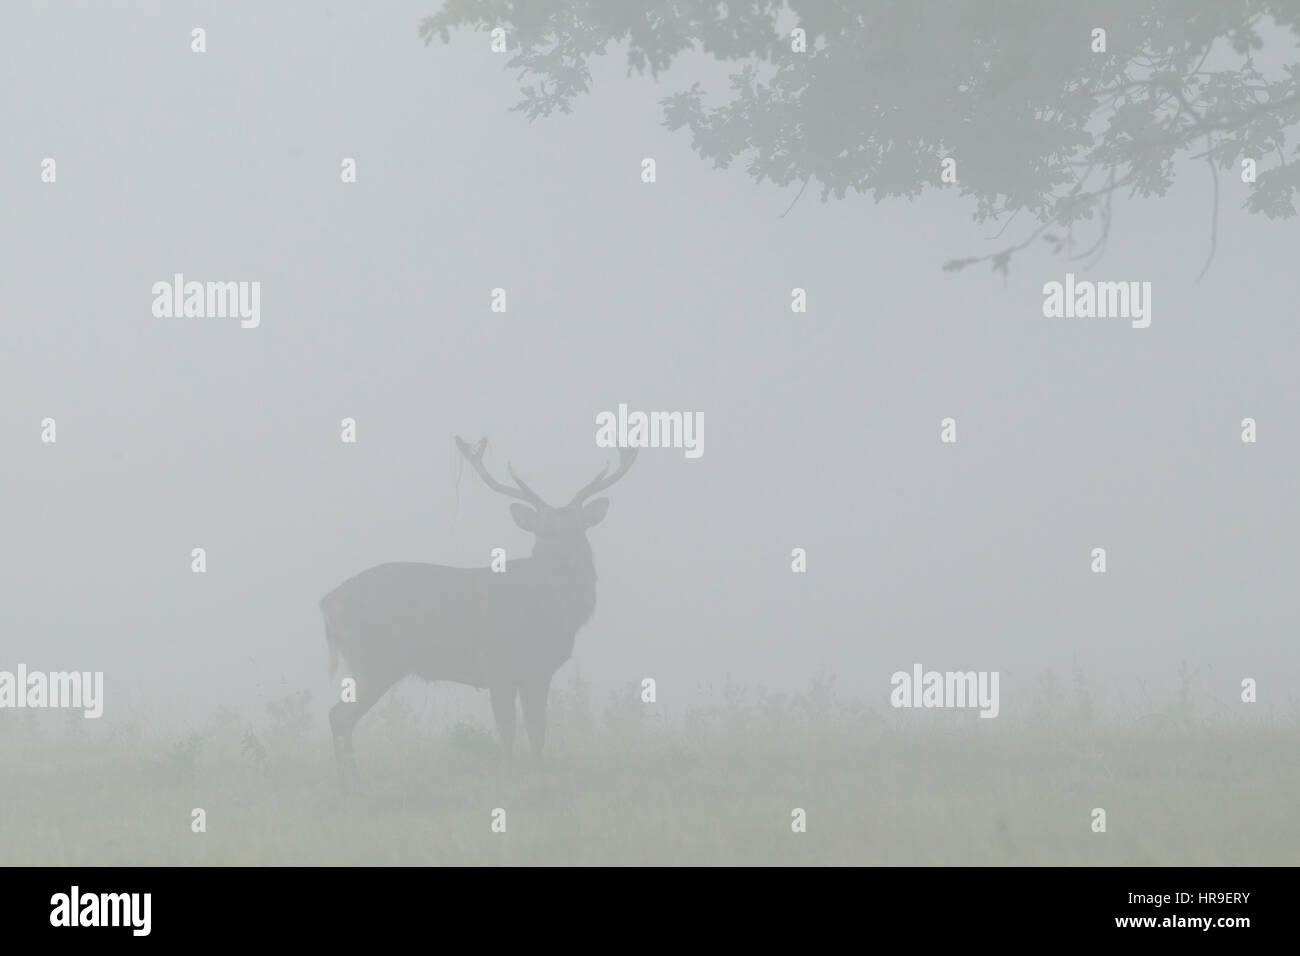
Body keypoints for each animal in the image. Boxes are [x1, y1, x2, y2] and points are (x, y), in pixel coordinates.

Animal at [320, 436, 636, 787]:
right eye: (542, 531)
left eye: (578, 527)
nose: (562, 557)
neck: (546, 614)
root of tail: (327, 602)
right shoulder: (498, 666)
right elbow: (508, 730)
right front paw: (508, 775)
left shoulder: (539, 672)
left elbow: (537, 730)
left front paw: (538, 772)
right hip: (373, 661)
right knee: (340, 716)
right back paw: (350, 783)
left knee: (340, 716)